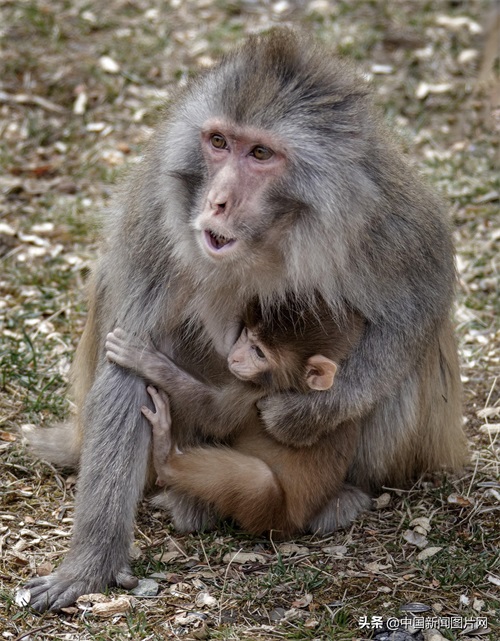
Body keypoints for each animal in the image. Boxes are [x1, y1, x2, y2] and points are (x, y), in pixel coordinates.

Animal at [105, 300, 366, 536]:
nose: (236, 357)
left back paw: (164, 454)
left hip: (272, 515)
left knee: (260, 481)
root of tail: (294, 525)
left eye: (259, 352)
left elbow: (215, 416)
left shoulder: (255, 393)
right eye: (247, 335)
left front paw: (146, 361)